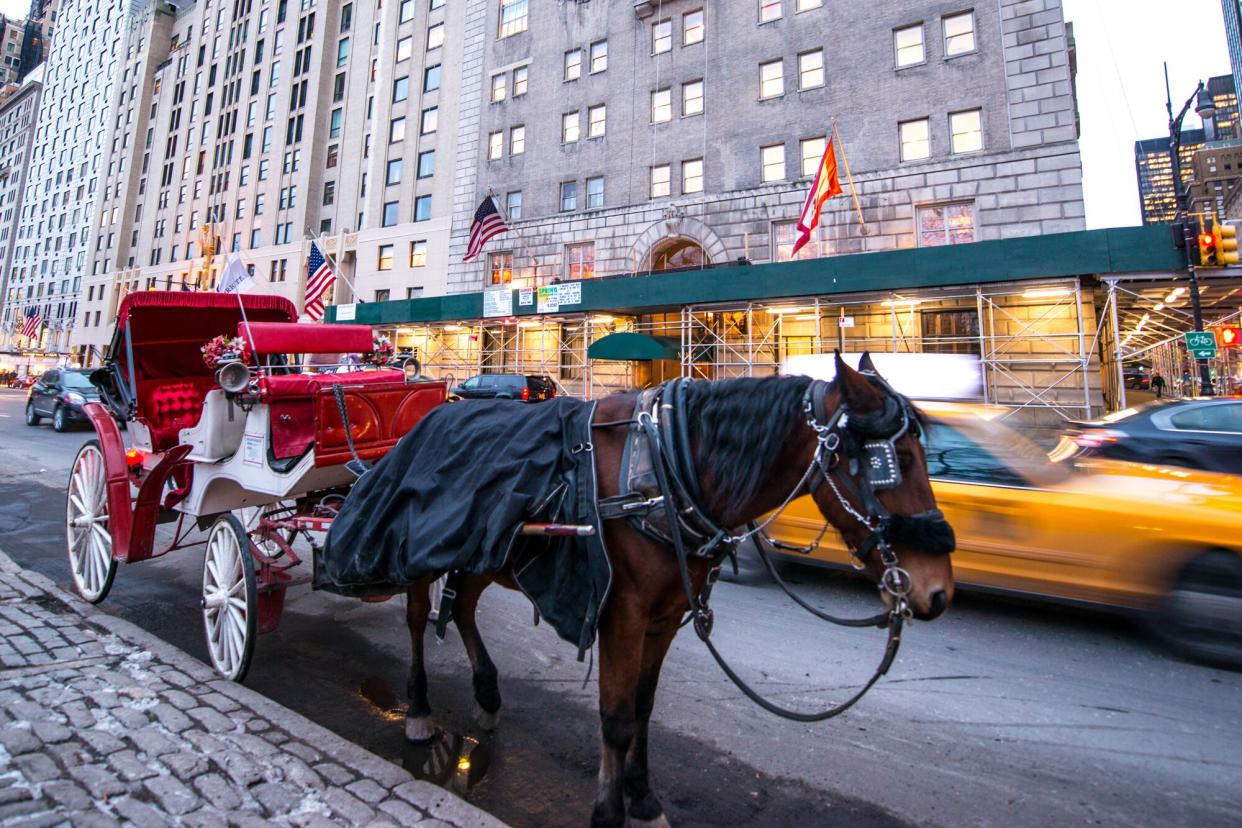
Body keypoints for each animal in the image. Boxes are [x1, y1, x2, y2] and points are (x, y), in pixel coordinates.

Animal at [402, 352, 953, 824]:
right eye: (896, 461)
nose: (940, 592)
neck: (668, 468)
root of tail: (448, 405)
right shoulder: (620, 614)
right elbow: (616, 717)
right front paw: (609, 812)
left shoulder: (664, 617)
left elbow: (643, 709)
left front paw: (644, 800)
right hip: (418, 555)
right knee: (415, 620)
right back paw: (419, 710)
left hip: (481, 552)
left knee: (463, 609)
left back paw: (487, 695)